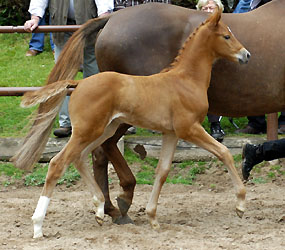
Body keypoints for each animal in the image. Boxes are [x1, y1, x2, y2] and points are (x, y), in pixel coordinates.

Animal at [21, 8, 248, 237]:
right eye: (226, 36)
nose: (246, 55)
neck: (186, 80)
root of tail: (79, 83)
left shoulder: (171, 133)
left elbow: (162, 171)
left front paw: (153, 218)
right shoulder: (189, 129)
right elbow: (224, 152)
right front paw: (240, 205)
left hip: (103, 130)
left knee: (79, 158)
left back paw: (100, 209)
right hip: (87, 131)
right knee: (58, 163)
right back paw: (38, 225)